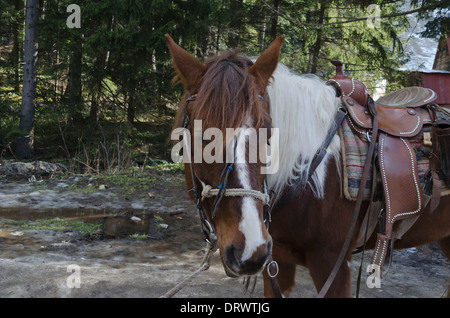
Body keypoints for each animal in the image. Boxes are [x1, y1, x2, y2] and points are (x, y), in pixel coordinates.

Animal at [166, 33, 450, 296]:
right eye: (202, 136)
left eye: (268, 133)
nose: (250, 251)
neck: (308, 175)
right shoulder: (277, 262)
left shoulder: (332, 265)